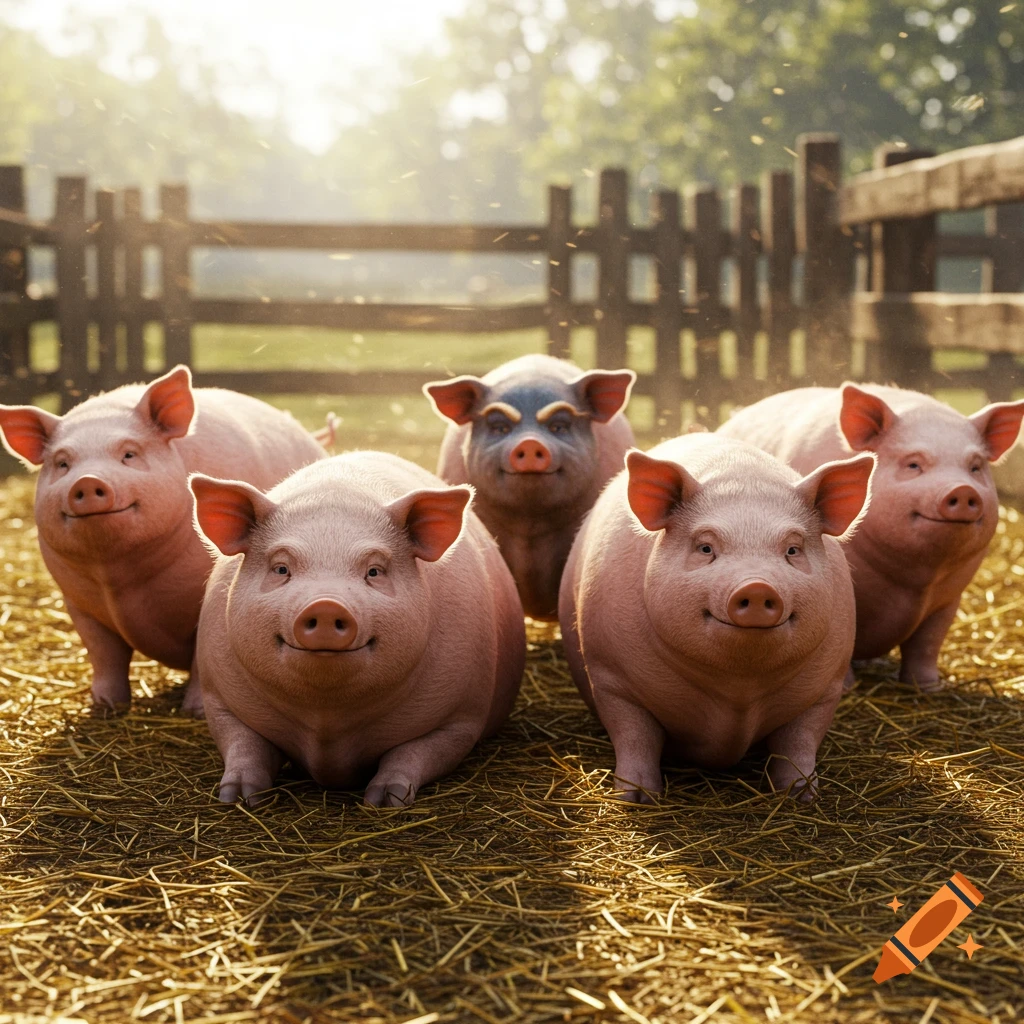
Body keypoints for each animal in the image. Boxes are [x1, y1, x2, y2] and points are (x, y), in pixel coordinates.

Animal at [0, 366, 325, 714]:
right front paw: (104, 707)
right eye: (63, 463)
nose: (86, 481)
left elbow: (199, 662)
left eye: (129, 454)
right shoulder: (79, 604)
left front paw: (194, 712)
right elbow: (104, 655)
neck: (115, 578)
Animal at [190, 451, 526, 806]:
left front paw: (385, 800)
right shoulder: (220, 701)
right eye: (281, 568)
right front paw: (236, 797)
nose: (325, 605)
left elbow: (412, 754)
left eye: (374, 571)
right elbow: (244, 746)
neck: (326, 727)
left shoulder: (460, 718)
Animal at [559, 433, 874, 802]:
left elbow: (799, 743)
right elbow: (635, 739)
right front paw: (637, 798)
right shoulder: (611, 679)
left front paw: (801, 796)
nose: (756, 585)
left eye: (793, 550)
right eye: (706, 548)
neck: (739, 691)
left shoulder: (826, 688)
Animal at [718, 384, 1024, 692]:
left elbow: (927, 644)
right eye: (913, 464)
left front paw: (928, 688)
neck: (916, 582)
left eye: (975, 467)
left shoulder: (949, 599)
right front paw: (847, 688)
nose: (962, 490)